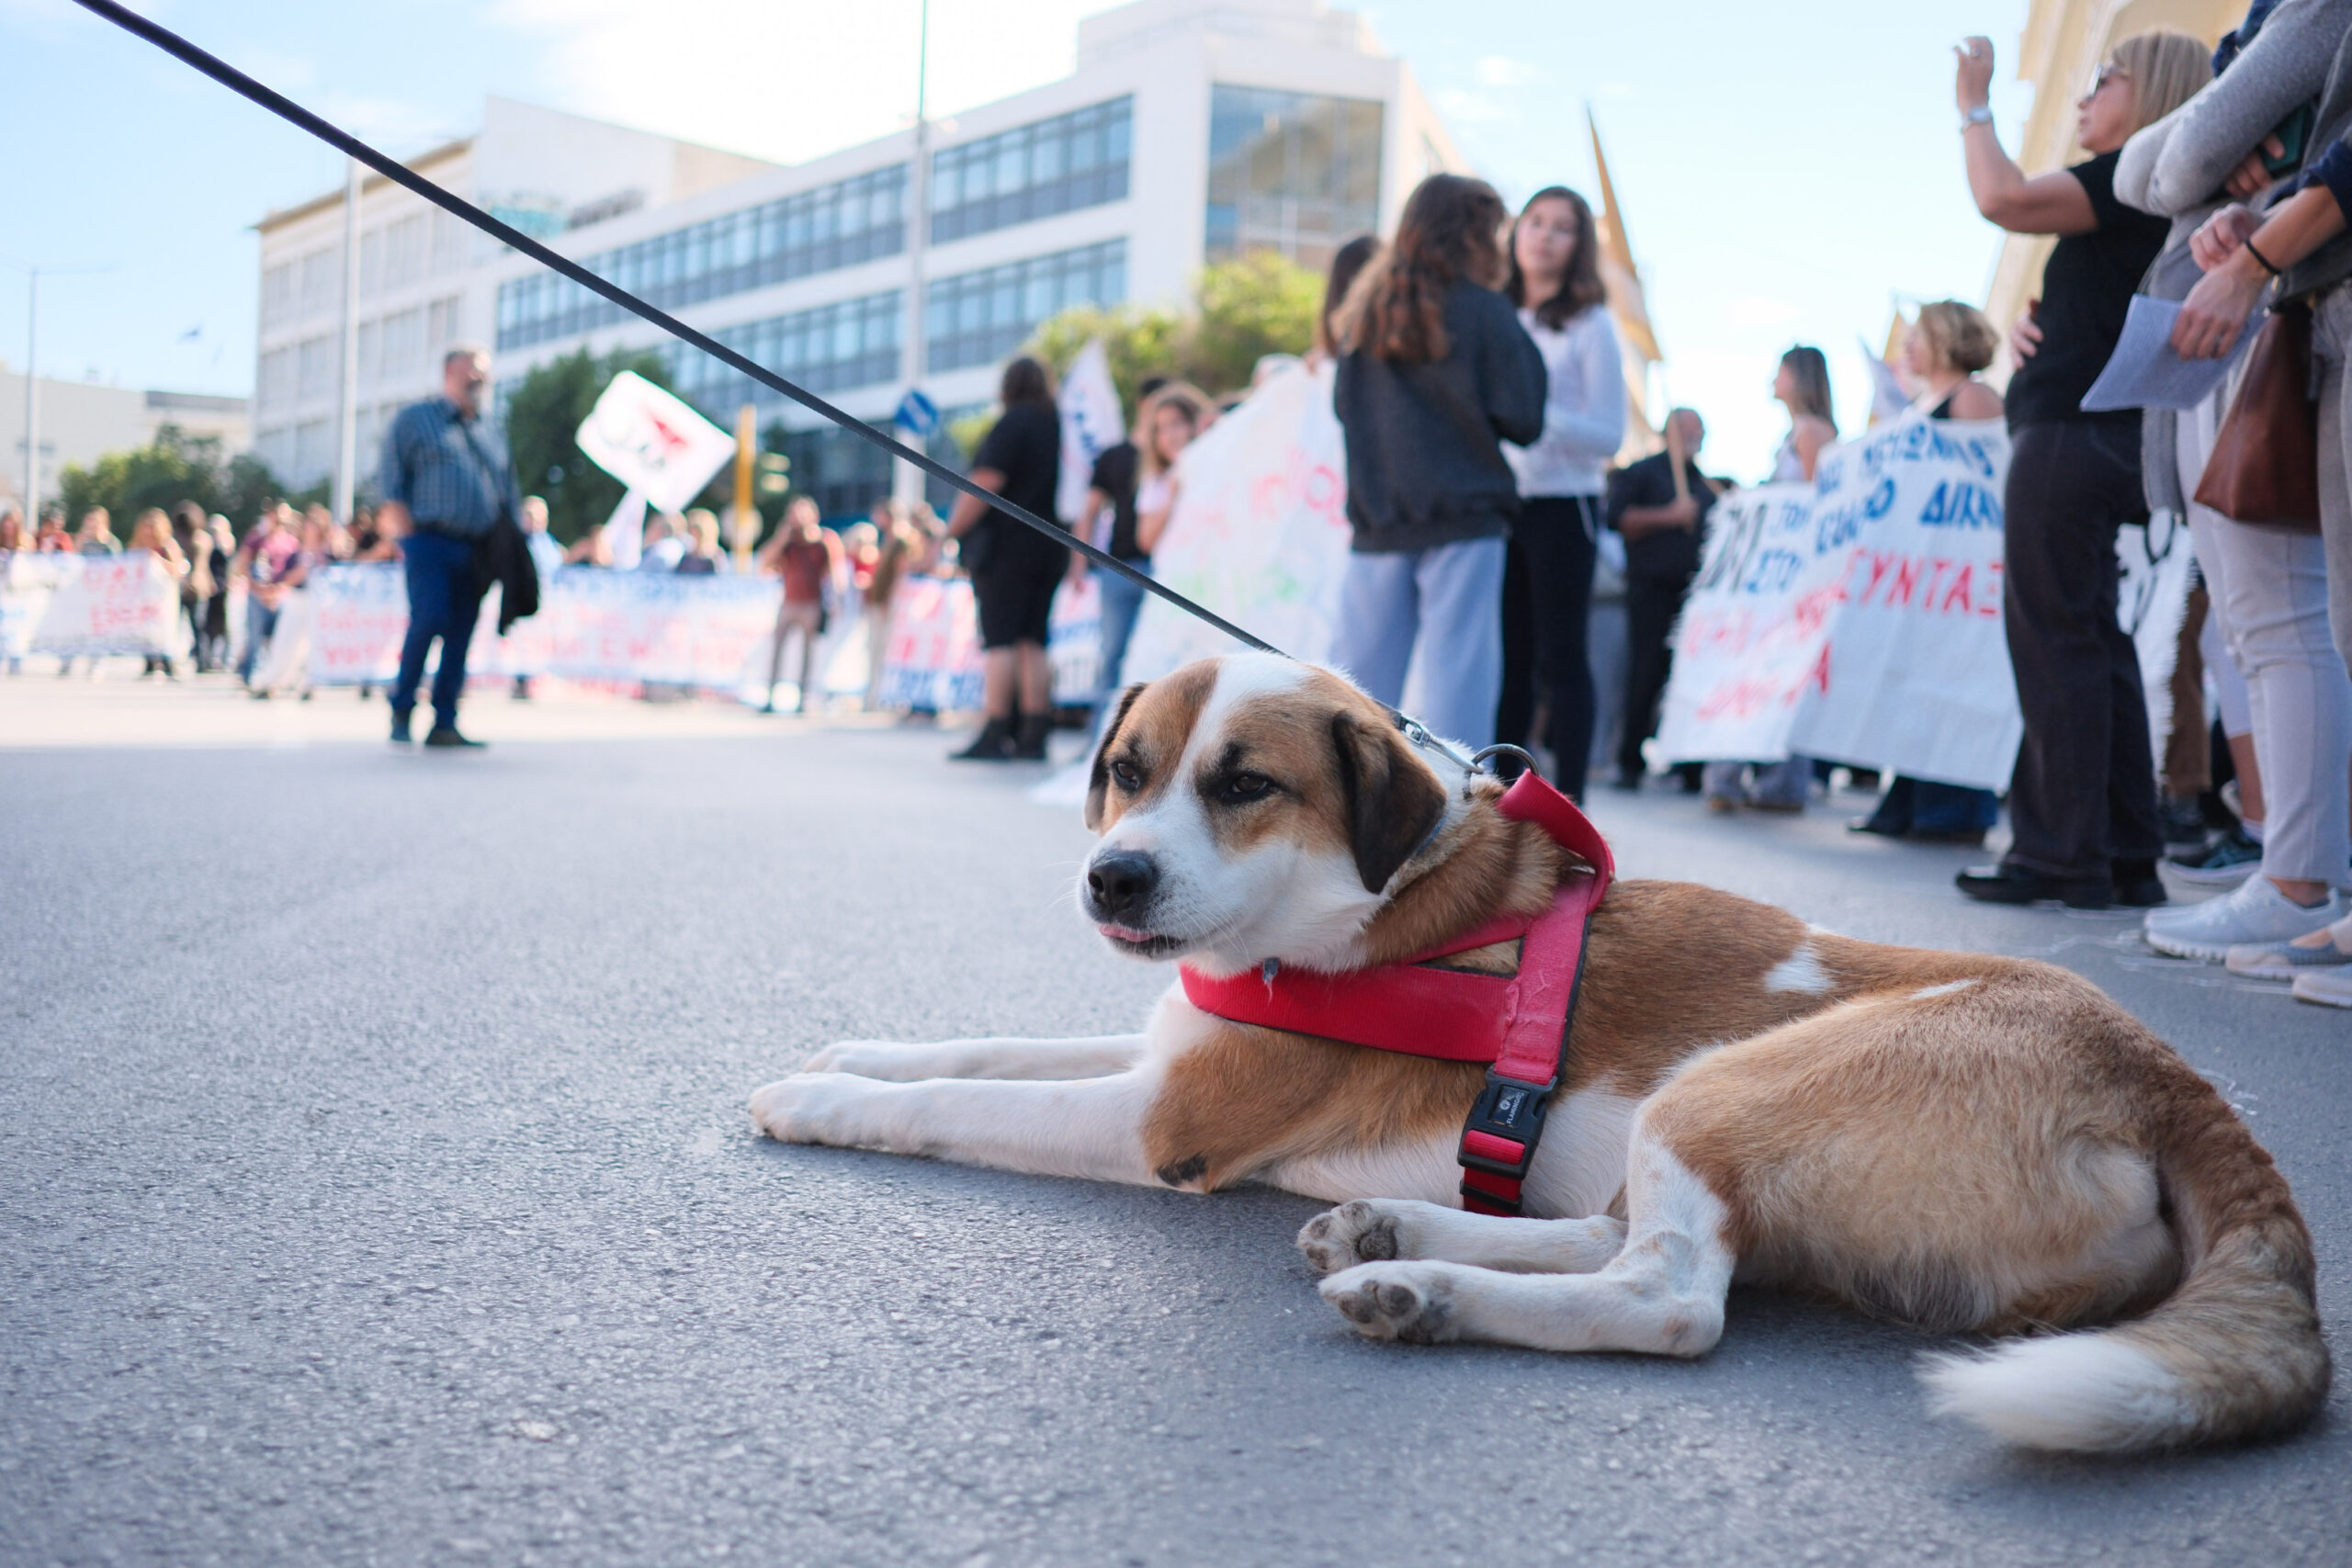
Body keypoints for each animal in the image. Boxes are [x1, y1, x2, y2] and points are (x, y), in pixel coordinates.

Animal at [750, 652, 2328, 1453]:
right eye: (1128, 772)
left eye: (1244, 783)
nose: (1112, 877)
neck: (1366, 903)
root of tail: (2178, 1080)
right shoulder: (1165, 1046)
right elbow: (983, 1044)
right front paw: (854, 1044)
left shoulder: (1163, 1116)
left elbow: (968, 1100)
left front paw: (826, 1098)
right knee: (1627, 1239)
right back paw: (1396, 1231)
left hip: (1725, 1081)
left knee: (1672, 1298)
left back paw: (1420, 1289)